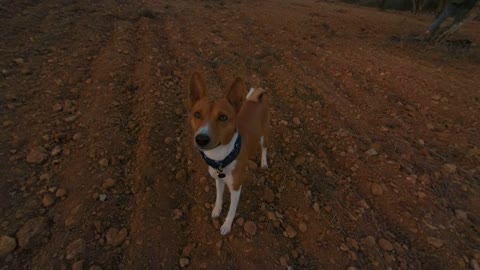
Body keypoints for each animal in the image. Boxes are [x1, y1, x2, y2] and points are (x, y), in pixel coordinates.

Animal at [188, 73, 270, 235]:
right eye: (197, 114)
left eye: (223, 117)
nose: (201, 139)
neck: (220, 157)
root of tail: (255, 100)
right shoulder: (218, 180)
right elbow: (219, 198)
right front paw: (216, 211)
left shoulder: (236, 188)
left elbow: (232, 210)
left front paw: (226, 225)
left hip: (264, 135)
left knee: (264, 148)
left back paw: (264, 162)